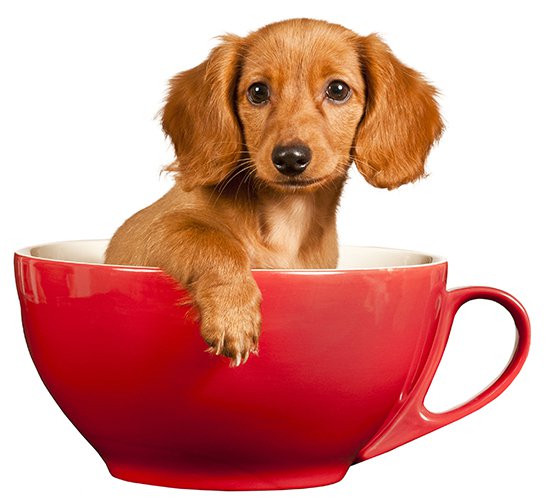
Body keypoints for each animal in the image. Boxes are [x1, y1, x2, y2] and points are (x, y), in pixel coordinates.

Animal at [103, 18, 444, 364]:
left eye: (338, 89)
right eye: (258, 91)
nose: (290, 158)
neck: (287, 217)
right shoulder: (150, 230)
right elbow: (215, 241)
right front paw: (234, 315)